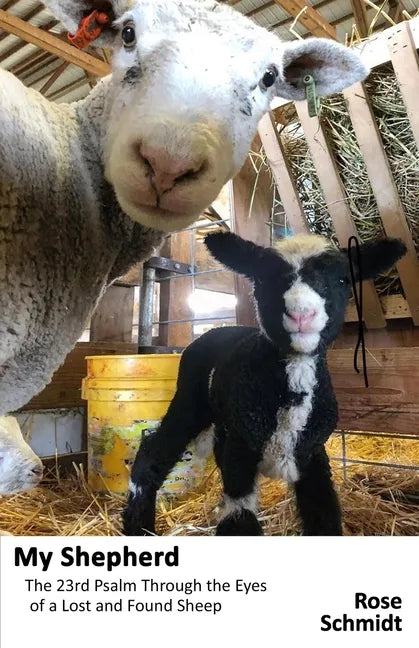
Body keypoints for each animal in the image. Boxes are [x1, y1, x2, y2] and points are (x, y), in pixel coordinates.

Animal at [123, 232, 406, 536]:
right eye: (263, 279)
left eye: (343, 280)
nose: (301, 314)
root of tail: (217, 330)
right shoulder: (241, 454)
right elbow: (239, 519)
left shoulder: (312, 454)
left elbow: (324, 514)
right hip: (190, 399)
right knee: (152, 452)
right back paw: (138, 526)